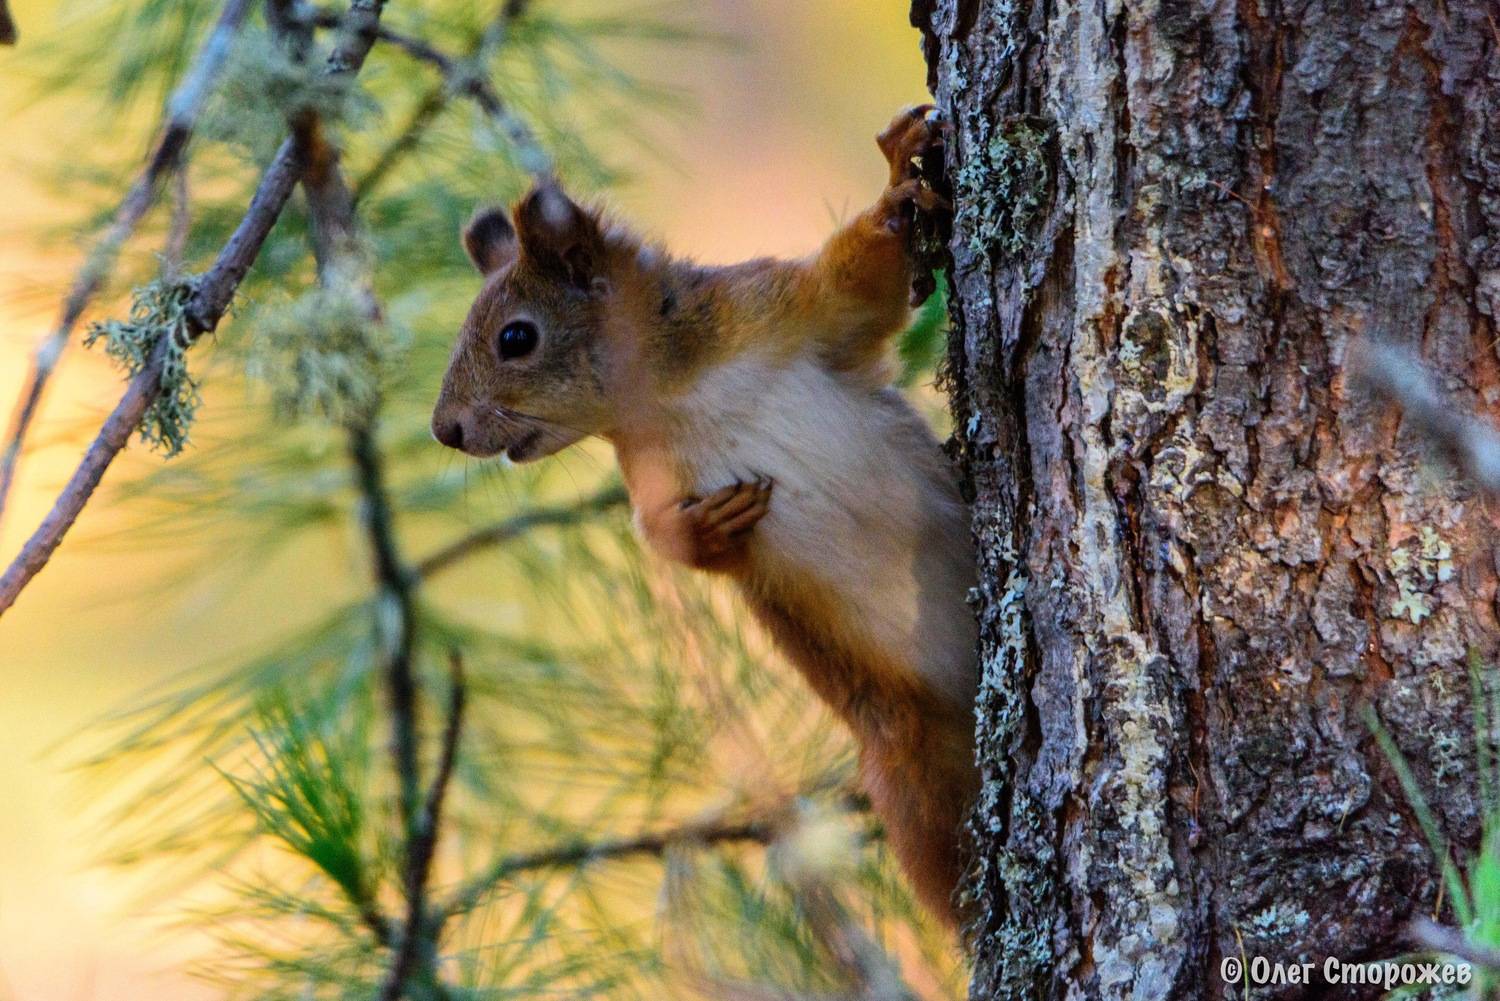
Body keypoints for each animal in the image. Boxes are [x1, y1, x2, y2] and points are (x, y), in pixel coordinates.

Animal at [431, 106, 978, 926]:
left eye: (515, 337)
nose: (446, 430)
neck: (669, 394)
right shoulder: (650, 478)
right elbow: (660, 534)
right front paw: (705, 529)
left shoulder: (785, 307)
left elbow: (858, 283)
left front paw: (897, 179)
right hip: (909, 761)